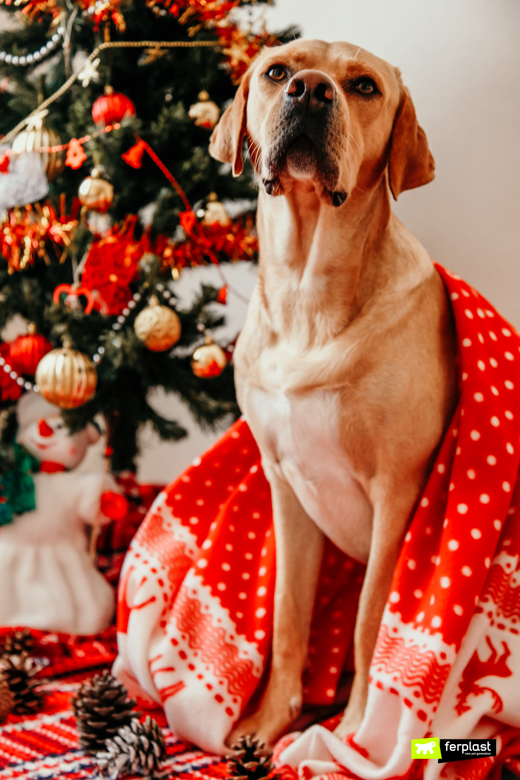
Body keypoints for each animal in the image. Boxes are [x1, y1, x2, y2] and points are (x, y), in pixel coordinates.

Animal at [209, 38, 458, 748]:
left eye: (364, 86)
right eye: (277, 72)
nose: (311, 91)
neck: (307, 291)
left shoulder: (397, 495)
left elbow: (371, 620)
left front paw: (353, 735)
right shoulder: (287, 488)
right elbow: (290, 616)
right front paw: (267, 723)